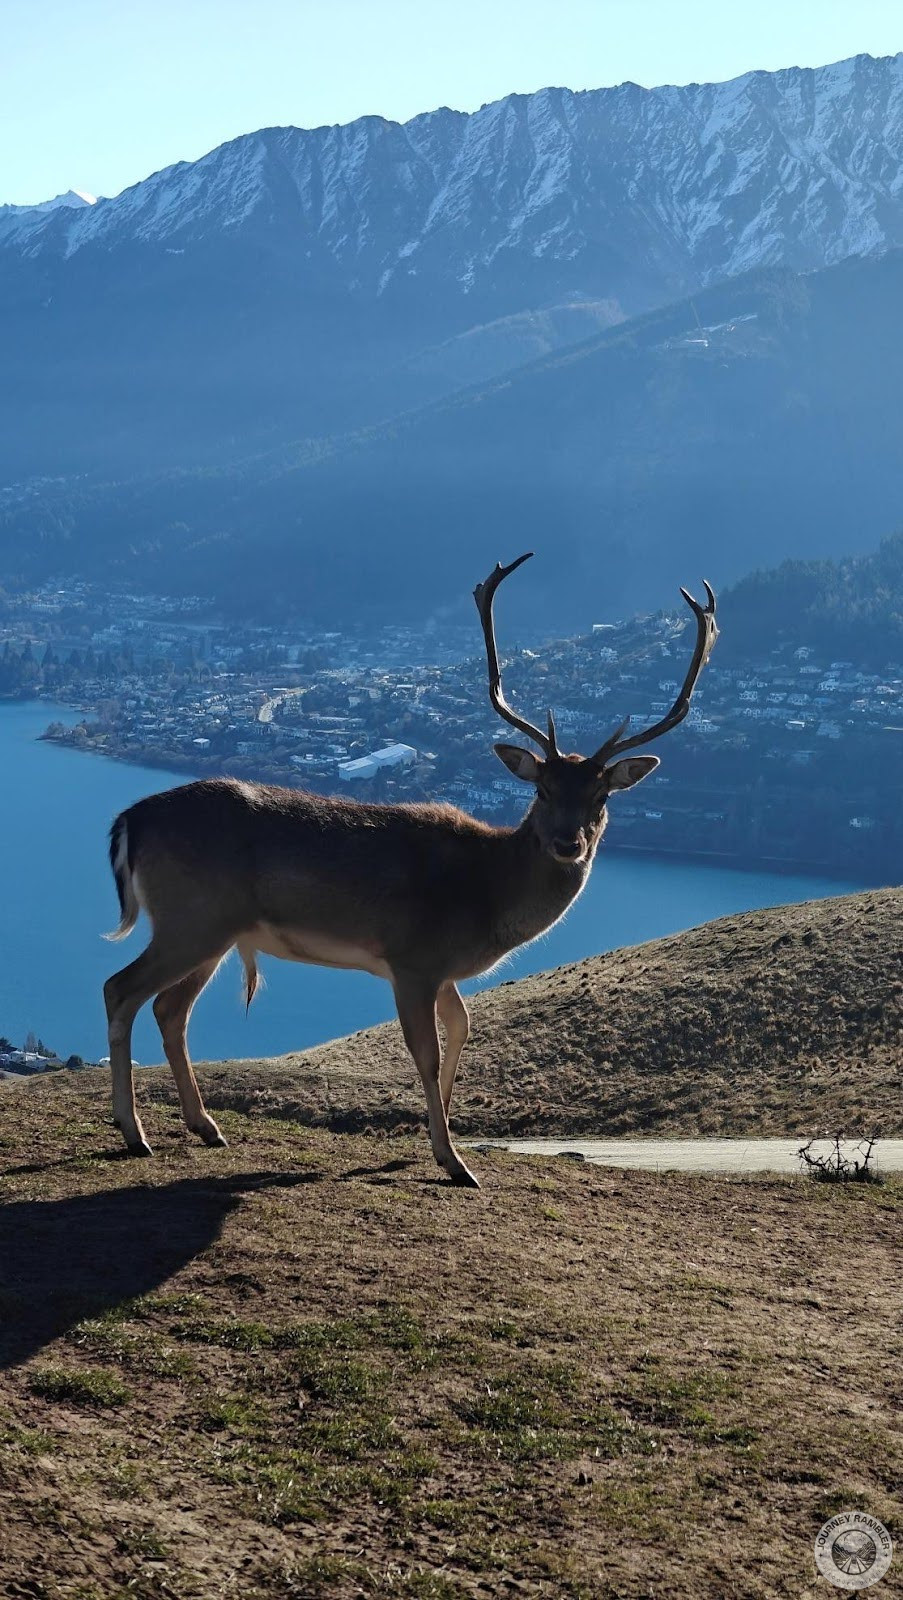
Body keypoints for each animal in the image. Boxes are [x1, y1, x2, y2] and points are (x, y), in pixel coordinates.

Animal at [103, 554, 717, 1186]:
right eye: (542, 790)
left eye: (601, 798)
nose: (569, 843)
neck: (486, 898)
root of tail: (130, 820)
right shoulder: (412, 960)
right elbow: (426, 1052)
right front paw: (454, 1162)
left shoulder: (442, 973)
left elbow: (463, 1031)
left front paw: (433, 1141)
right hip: (192, 919)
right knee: (119, 989)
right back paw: (134, 1132)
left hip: (215, 933)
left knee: (169, 1009)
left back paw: (204, 1126)